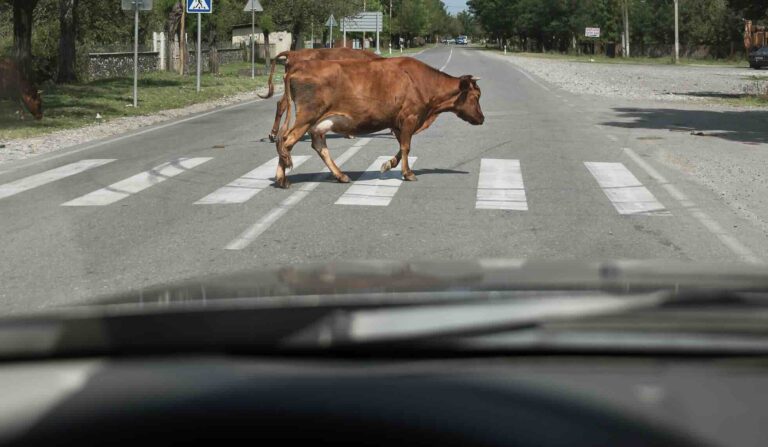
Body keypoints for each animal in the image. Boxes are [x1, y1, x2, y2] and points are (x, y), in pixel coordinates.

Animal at [273, 57, 484, 189]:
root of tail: (298, 66)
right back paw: (282, 179)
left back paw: (340, 175)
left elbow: (401, 147)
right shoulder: (410, 117)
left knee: (317, 146)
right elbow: (406, 147)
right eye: (476, 96)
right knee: (285, 141)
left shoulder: (398, 122)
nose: (482, 118)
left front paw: (388, 164)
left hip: (318, 123)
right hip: (307, 116)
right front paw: (408, 173)